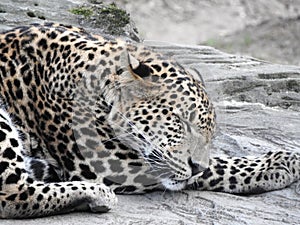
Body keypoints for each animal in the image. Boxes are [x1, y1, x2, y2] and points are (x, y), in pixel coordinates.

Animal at [0, 23, 298, 218]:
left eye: (210, 134)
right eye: (180, 121)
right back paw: (96, 194)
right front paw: (280, 162)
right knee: (12, 194)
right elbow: (216, 165)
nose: (196, 168)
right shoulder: (109, 162)